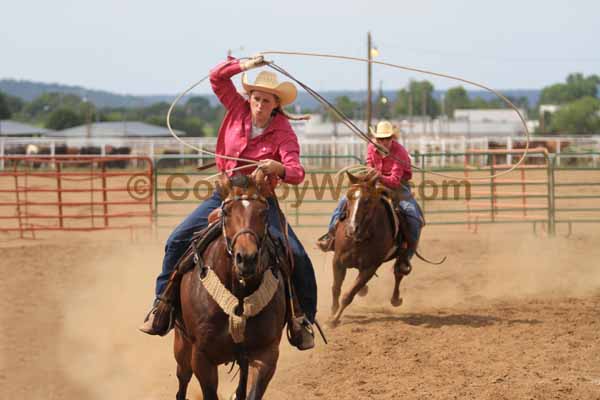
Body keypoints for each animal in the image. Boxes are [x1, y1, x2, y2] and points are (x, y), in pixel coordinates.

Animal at [172, 172, 288, 400]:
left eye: (264, 213)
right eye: (226, 212)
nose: (247, 258)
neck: (239, 292)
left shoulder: (266, 352)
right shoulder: (202, 357)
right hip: (182, 346)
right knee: (182, 380)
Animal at [328, 171, 408, 324]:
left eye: (368, 200)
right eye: (349, 196)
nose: (351, 228)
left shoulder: (370, 268)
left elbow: (348, 295)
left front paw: (333, 320)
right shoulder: (337, 261)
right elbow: (336, 288)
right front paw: (333, 312)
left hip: (402, 255)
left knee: (399, 272)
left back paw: (396, 299)